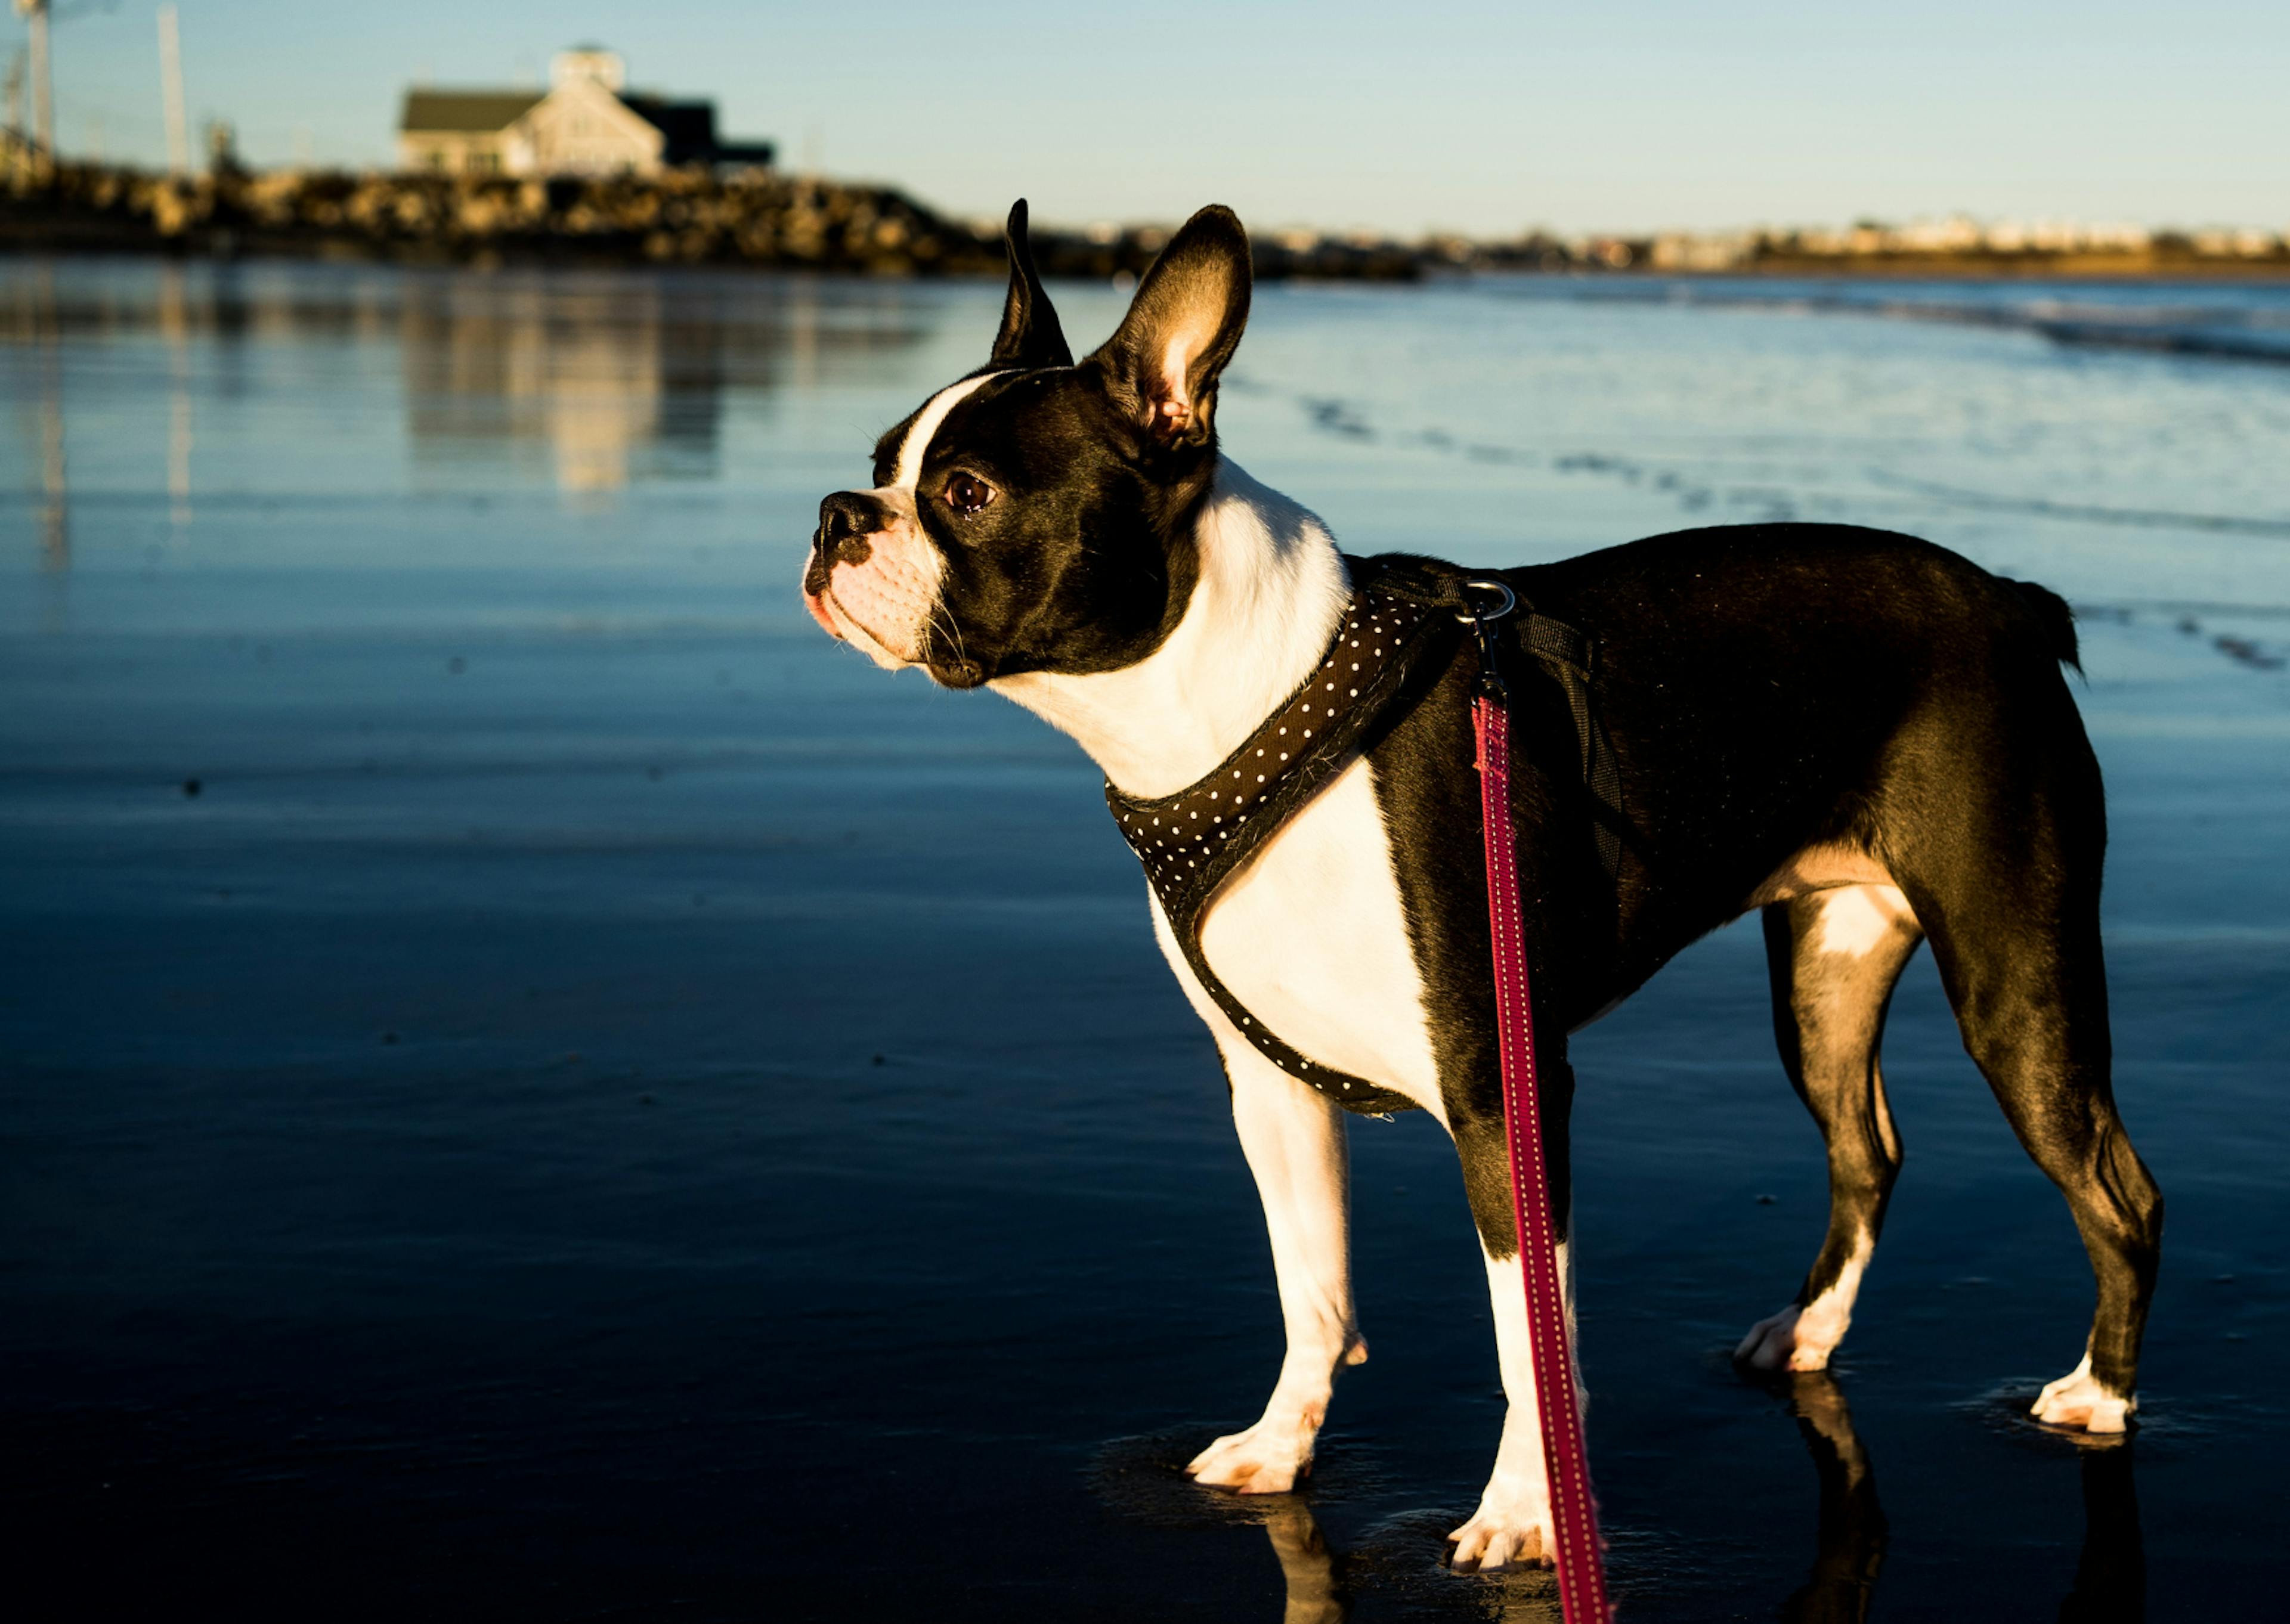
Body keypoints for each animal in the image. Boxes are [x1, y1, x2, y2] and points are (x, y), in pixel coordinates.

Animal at [802, 196, 2161, 1566]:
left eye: (967, 494)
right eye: (879, 462)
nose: (836, 514)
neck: (1243, 703)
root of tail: (2009, 602)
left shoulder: (1503, 1090)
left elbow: (1529, 1336)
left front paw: (1523, 1515)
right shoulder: (1269, 1092)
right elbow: (1312, 1287)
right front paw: (1282, 1446)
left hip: (2015, 978)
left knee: (2116, 1187)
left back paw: (2098, 1392)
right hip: (1826, 973)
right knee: (1865, 1148)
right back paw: (1810, 1336)